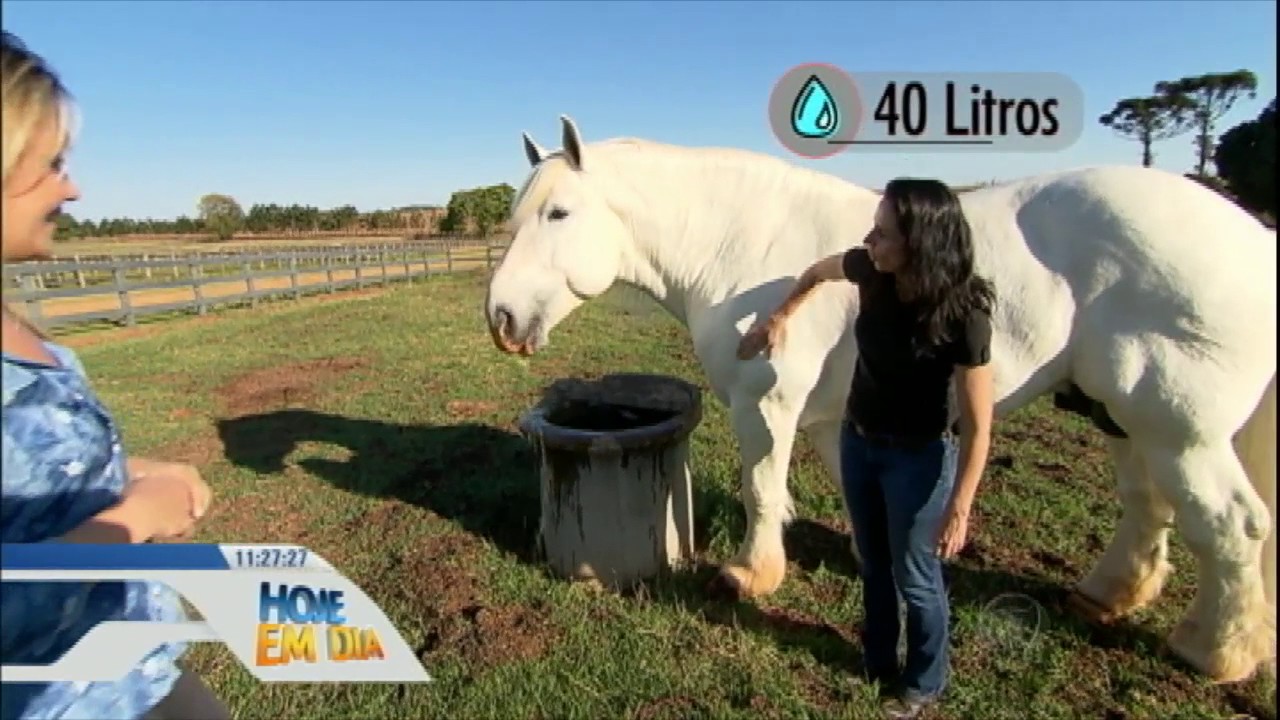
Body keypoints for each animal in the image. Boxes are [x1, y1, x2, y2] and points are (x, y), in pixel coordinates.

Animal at [483, 114, 1277, 684]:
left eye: (559, 214)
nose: (501, 318)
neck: (741, 243)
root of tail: (1251, 237)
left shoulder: (766, 404)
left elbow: (761, 489)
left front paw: (751, 575)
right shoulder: (836, 419)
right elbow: (854, 495)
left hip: (1179, 430)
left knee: (1234, 526)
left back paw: (1216, 651)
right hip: (1120, 417)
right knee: (1150, 507)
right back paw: (1111, 595)